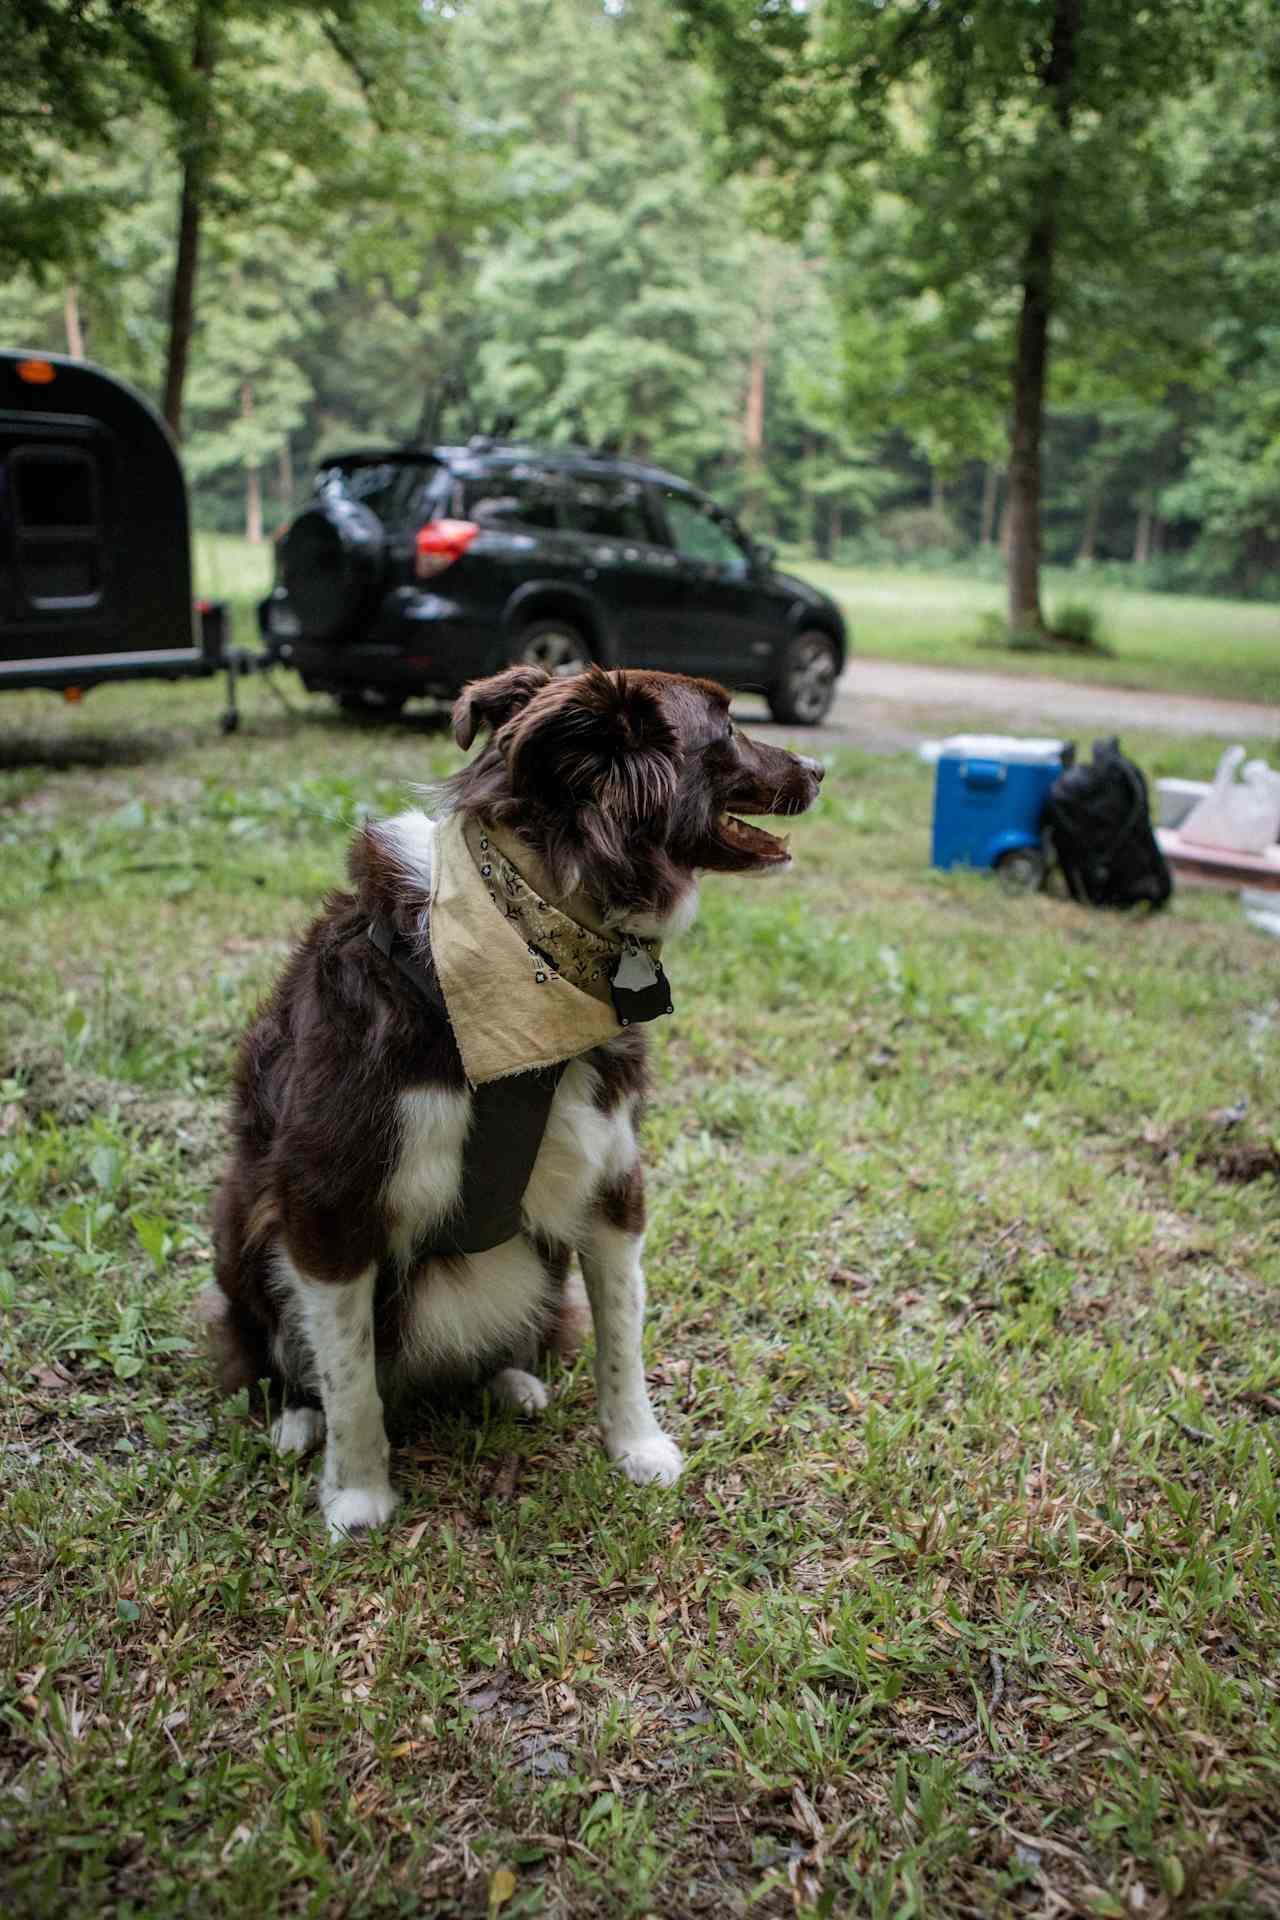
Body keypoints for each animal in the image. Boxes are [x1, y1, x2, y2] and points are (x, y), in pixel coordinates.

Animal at [205, 668, 825, 1536]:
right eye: (728, 727)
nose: (820, 768)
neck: (532, 936)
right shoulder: (330, 1202)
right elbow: (350, 1375)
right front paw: (358, 1495)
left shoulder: (611, 1179)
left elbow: (621, 1334)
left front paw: (636, 1446)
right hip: (244, 1219)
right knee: (273, 1344)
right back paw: (297, 1418)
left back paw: (512, 1380)